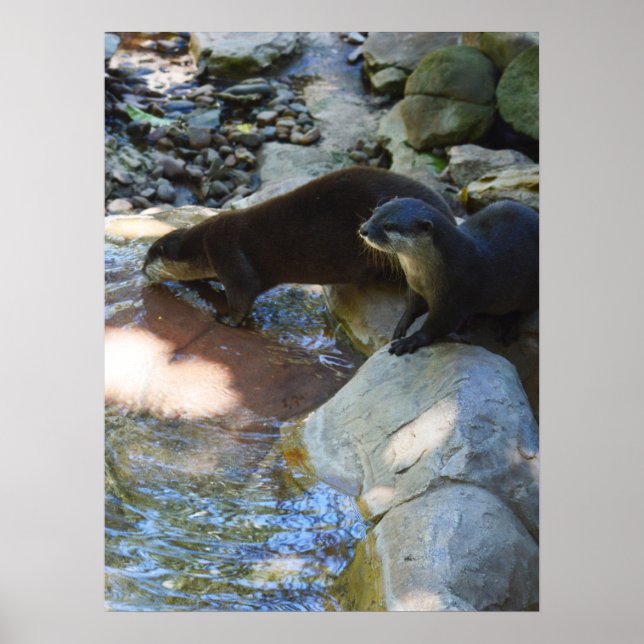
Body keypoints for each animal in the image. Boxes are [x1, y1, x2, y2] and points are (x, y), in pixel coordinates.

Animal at [143, 167, 456, 326]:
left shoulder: (226, 251)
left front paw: (226, 319)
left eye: (147, 258)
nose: (141, 270)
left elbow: (243, 293)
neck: (202, 246)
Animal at [359, 198, 539, 355]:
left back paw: (507, 325)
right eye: (374, 213)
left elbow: (439, 325)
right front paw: (402, 324)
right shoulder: (415, 288)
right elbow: (413, 306)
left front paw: (411, 340)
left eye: (389, 226)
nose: (363, 230)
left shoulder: (455, 294)